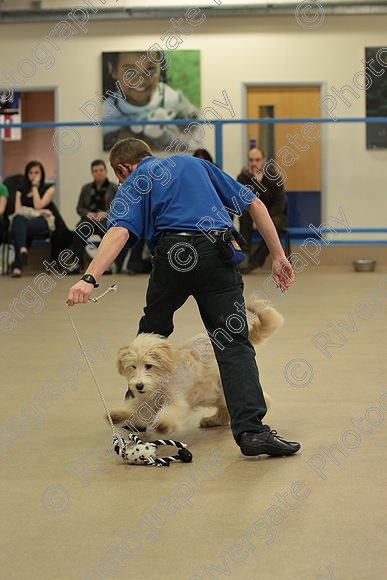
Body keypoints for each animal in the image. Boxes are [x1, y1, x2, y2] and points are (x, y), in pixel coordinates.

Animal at [110, 304, 284, 436]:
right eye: (133, 366)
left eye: (149, 365)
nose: (139, 385)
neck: (161, 380)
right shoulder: (146, 399)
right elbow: (133, 406)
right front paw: (117, 414)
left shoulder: (176, 397)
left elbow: (173, 409)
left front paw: (163, 424)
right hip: (213, 391)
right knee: (224, 407)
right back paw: (212, 420)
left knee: (259, 399)